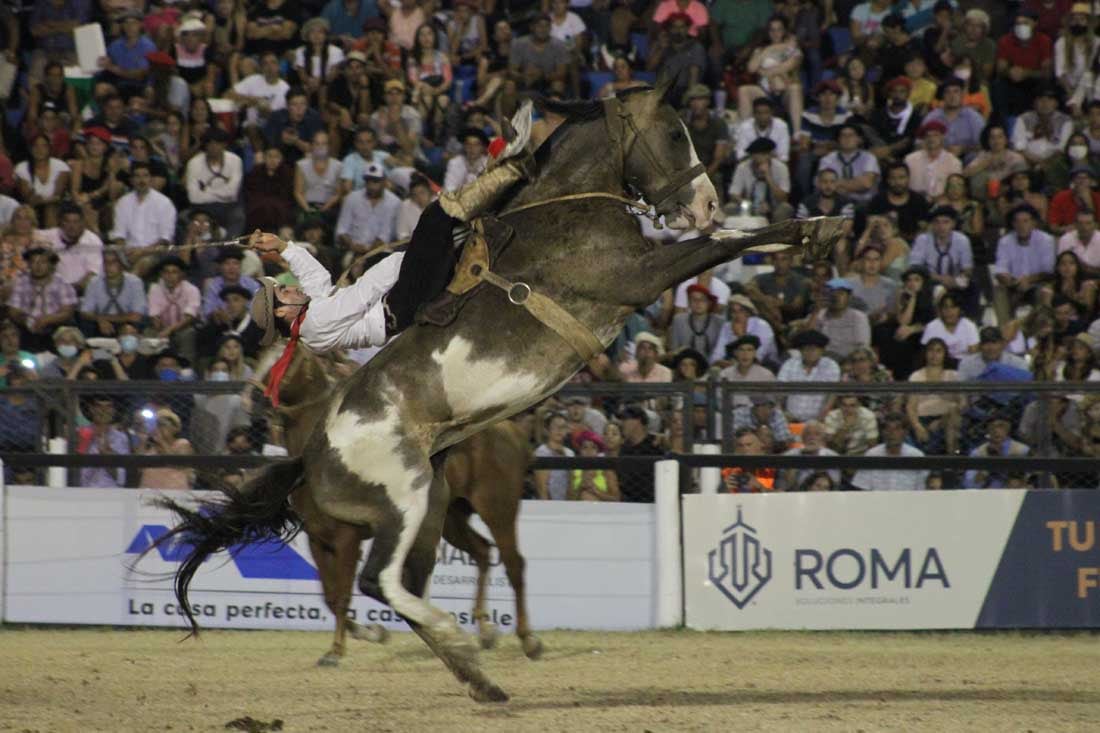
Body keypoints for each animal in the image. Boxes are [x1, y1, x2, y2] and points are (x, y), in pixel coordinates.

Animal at [262, 345, 545, 664]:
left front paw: (338, 650)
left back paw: (528, 640)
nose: (262, 404)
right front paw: (369, 633)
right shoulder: (317, 538)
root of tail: (513, 433)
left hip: (498, 507)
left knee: (513, 563)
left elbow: (343, 594)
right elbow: (330, 595)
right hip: (450, 518)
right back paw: (484, 631)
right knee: (483, 551)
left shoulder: (347, 538)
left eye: (284, 360)